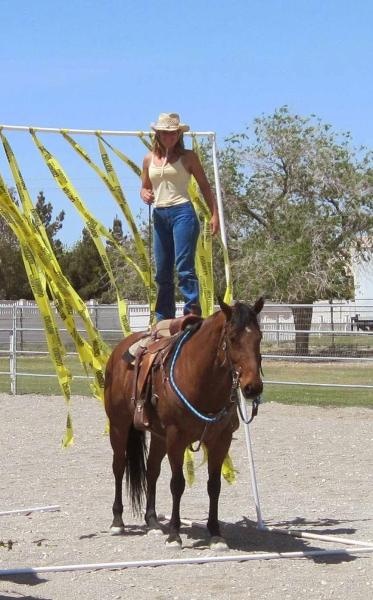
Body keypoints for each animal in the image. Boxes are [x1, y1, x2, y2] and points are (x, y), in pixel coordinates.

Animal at [103, 298, 264, 548]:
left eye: (259, 337)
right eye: (232, 338)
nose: (252, 387)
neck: (201, 381)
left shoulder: (220, 441)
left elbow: (214, 486)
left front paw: (215, 532)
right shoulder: (176, 439)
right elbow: (177, 484)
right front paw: (174, 534)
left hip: (158, 436)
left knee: (152, 471)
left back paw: (152, 522)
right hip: (119, 427)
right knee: (119, 467)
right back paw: (117, 521)